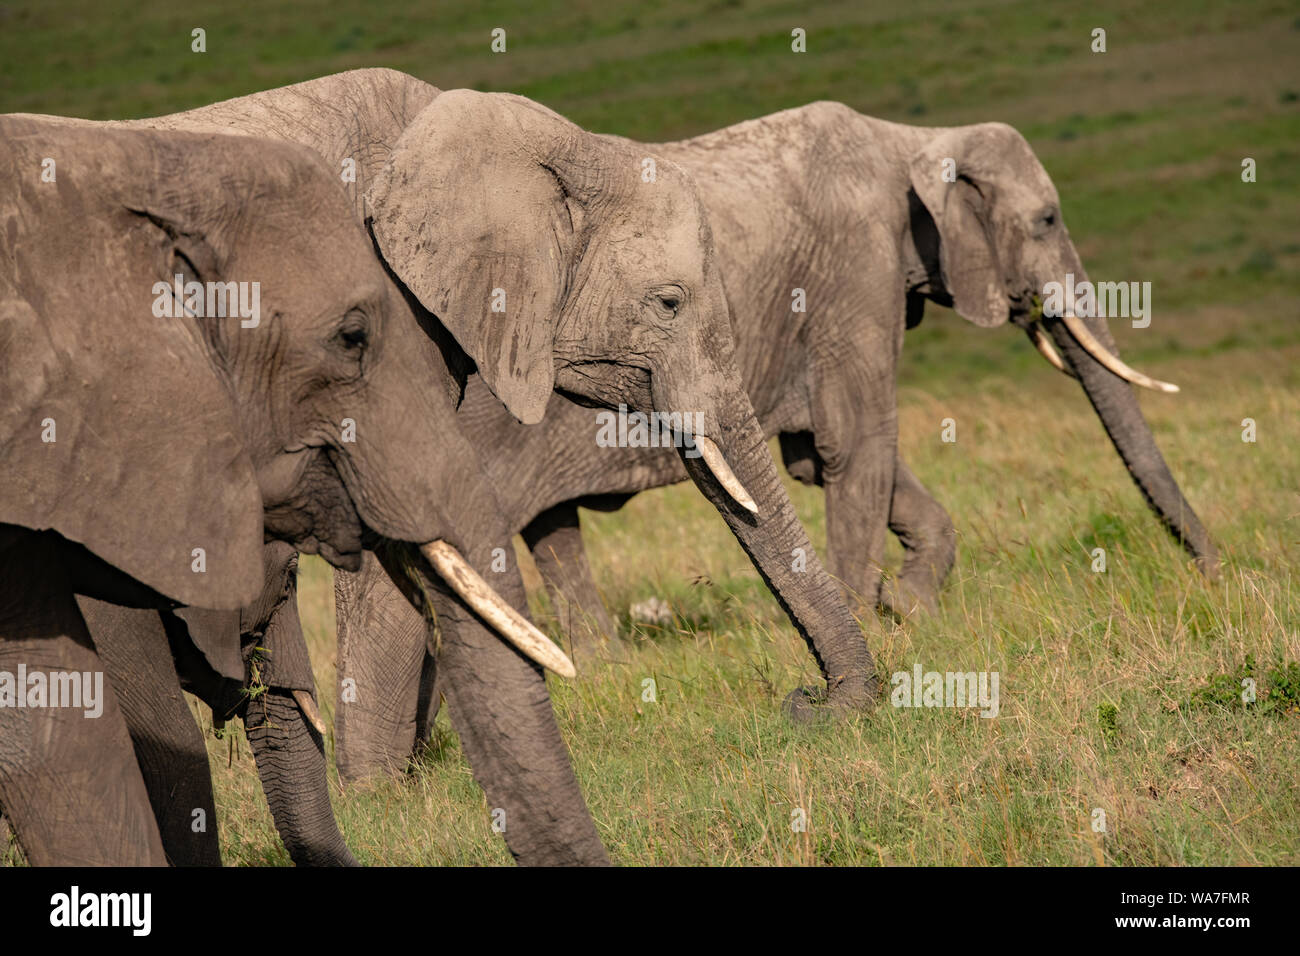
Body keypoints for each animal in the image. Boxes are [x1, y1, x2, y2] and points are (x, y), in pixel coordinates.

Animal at [332, 102, 1216, 780]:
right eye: (1046, 220)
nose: (1211, 572)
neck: (911, 138)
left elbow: (823, 459)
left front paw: (906, 606)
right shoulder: (855, 272)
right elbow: (856, 444)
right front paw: (880, 614)